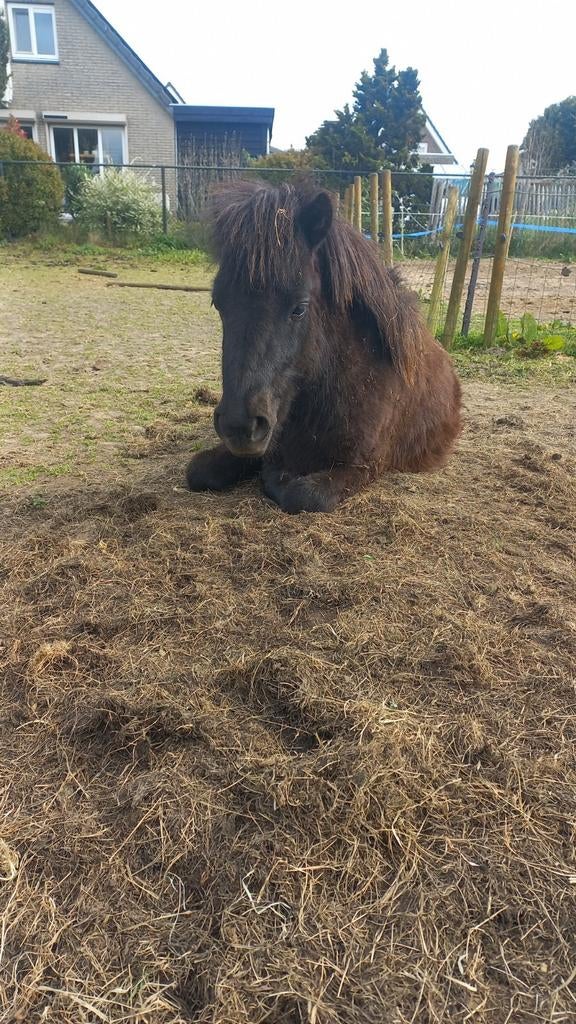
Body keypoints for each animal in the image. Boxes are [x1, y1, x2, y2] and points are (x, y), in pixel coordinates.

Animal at [186, 179, 461, 514]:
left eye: (299, 308)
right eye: (219, 303)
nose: (239, 426)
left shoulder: (361, 467)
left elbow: (299, 493)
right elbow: (199, 471)